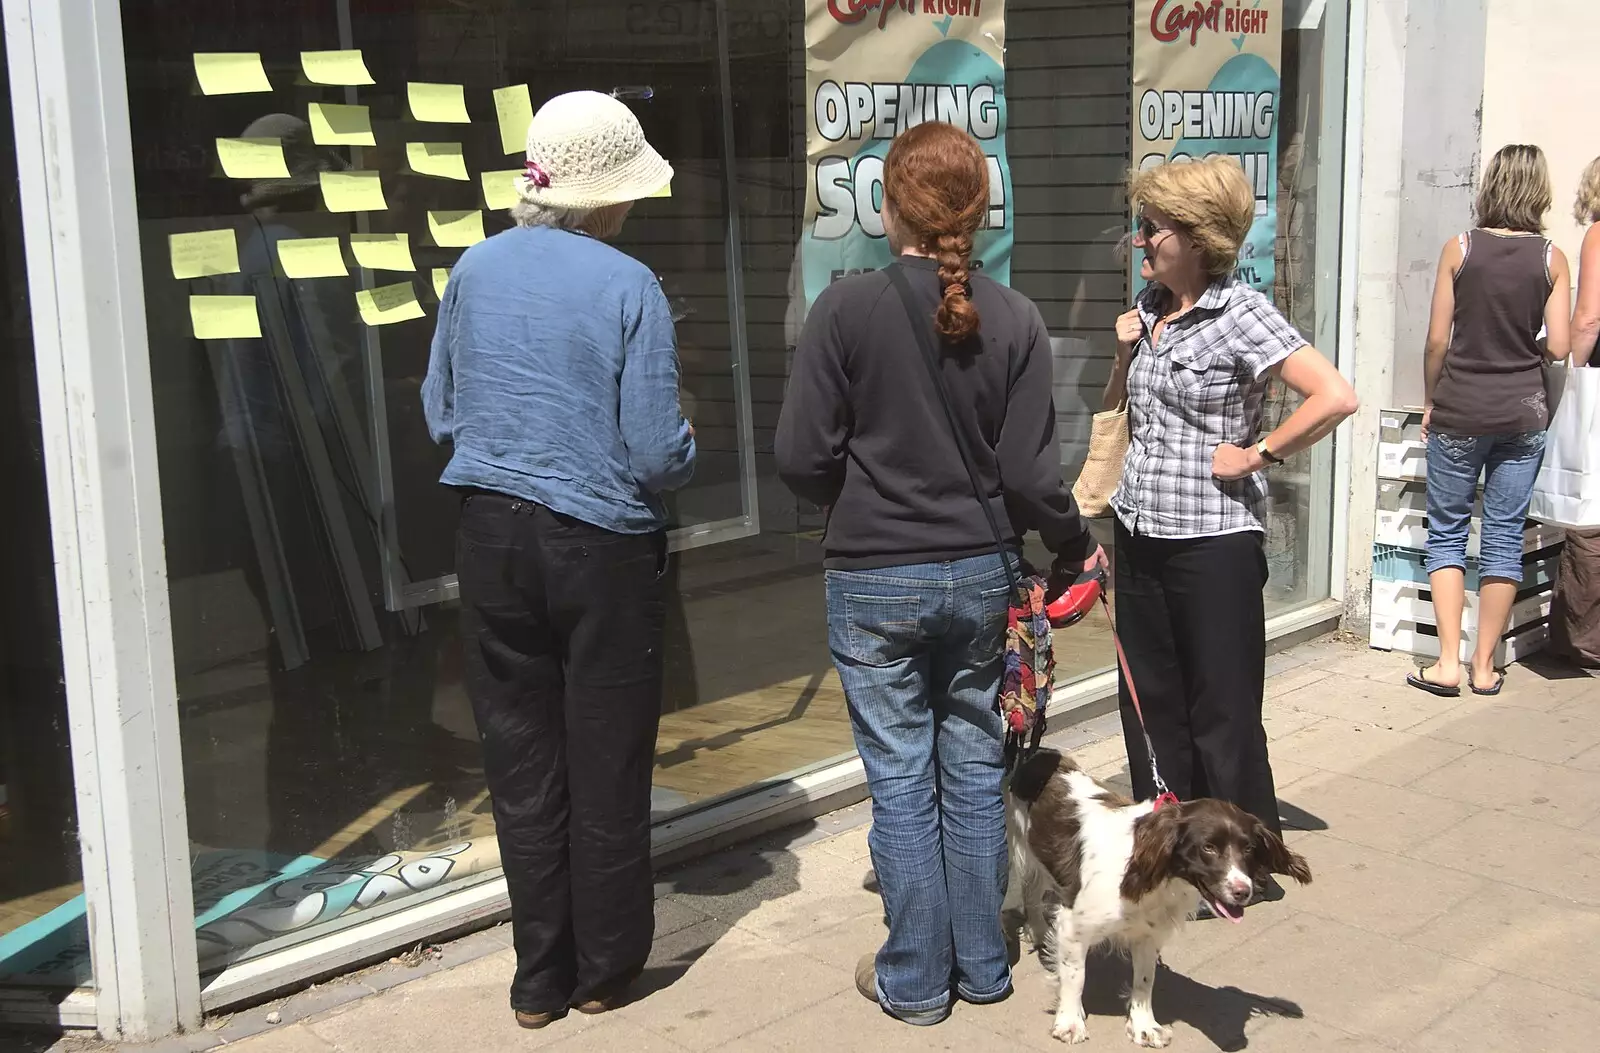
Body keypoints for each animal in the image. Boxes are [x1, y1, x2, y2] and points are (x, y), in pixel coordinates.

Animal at [1004, 745, 1305, 1043]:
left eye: (1248, 848)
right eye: (1208, 847)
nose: (1244, 891)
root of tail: (1037, 753)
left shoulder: (1148, 932)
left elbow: (1145, 980)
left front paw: (1144, 1026)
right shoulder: (1073, 925)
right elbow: (1075, 977)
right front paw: (1070, 1023)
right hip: (1021, 851)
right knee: (1030, 893)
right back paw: (1039, 933)